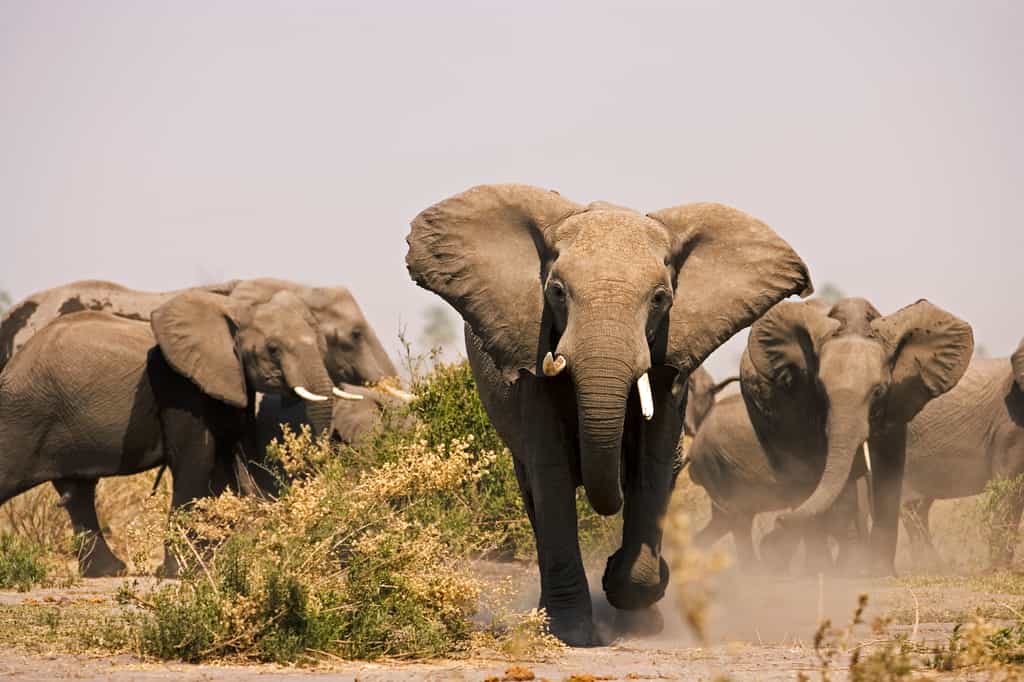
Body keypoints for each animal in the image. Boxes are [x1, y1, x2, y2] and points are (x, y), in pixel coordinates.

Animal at [405, 183, 812, 645]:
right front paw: (574, 632)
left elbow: (652, 466)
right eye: (557, 292)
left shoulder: (668, 362)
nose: (612, 562)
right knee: (533, 490)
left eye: (660, 299)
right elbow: (552, 472)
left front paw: (637, 611)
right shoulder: (534, 358)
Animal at [687, 297, 973, 575]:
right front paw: (842, 570)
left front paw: (878, 572)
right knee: (782, 491)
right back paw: (810, 568)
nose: (776, 529)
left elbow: (888, 472)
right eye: (821, 390)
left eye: (879, 391)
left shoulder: (899, 399)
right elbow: (823, 476)